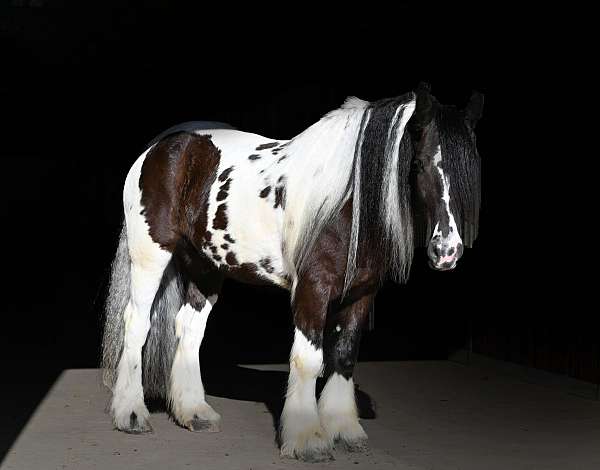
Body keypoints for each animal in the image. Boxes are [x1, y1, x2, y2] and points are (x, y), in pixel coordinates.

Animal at [99, 82, 482, 460]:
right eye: (420, 163)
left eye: (472, 170)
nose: (447, 251)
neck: (348, 202)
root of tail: (161, 147)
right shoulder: (314, 288)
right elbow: (308, 360)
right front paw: (308, 438)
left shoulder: (361, 293)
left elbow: (344, 356)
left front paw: (344, 429)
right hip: (150, 255)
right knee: (136, 323)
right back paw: (130, 413)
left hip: (205, 265)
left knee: (189, 328)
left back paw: (195, 412)